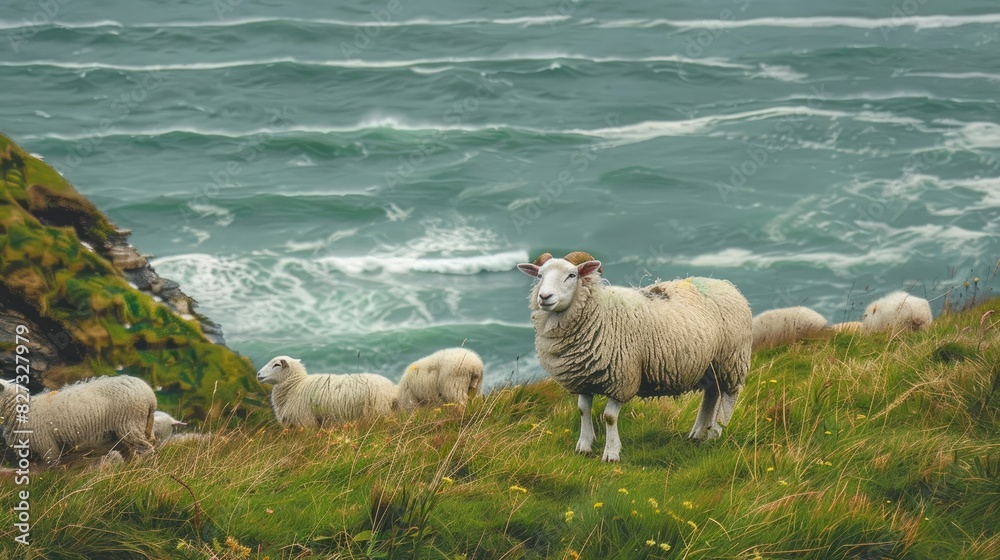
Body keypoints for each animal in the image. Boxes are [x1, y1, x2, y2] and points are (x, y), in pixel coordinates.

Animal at [256, 356, 399, 428]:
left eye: (276, 365)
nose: (258, 374)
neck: (296, 385)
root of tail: (392, 390)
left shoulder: (306, 421)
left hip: (378, 413)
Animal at [517, 251, 752, 462]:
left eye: (572, 275)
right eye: (540, 276)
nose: (544, 297)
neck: (599, 313)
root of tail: (726, 285)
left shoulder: (623, 378)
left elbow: (609, 417)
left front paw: (611, 454)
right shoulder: (583, 378)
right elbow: (583, 410)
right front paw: (583, 446)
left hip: (731, 360)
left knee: (728, 396)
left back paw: (716, 433)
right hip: (709, 365)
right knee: (711, 394)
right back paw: (697, 434)